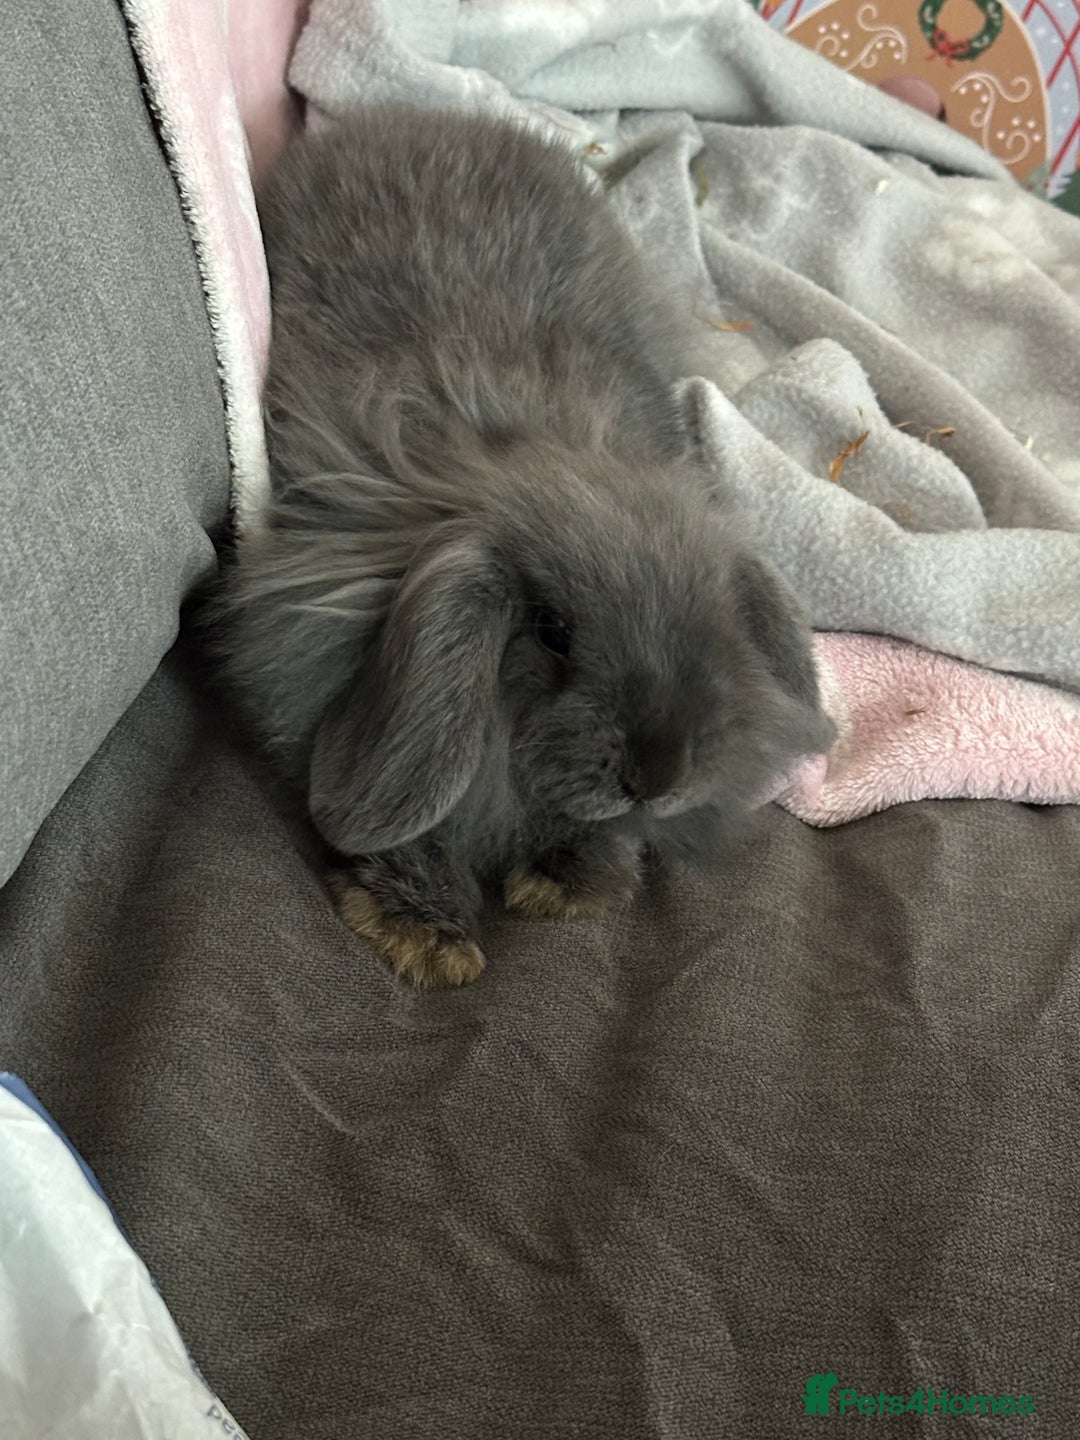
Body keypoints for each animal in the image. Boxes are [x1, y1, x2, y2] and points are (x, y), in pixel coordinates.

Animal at [214, 103, 834, 989]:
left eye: (720, 624)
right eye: (553, 633)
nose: (658, 777)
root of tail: (425, 116)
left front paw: (567, 886)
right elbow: (414, 828)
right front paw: (424, 937)